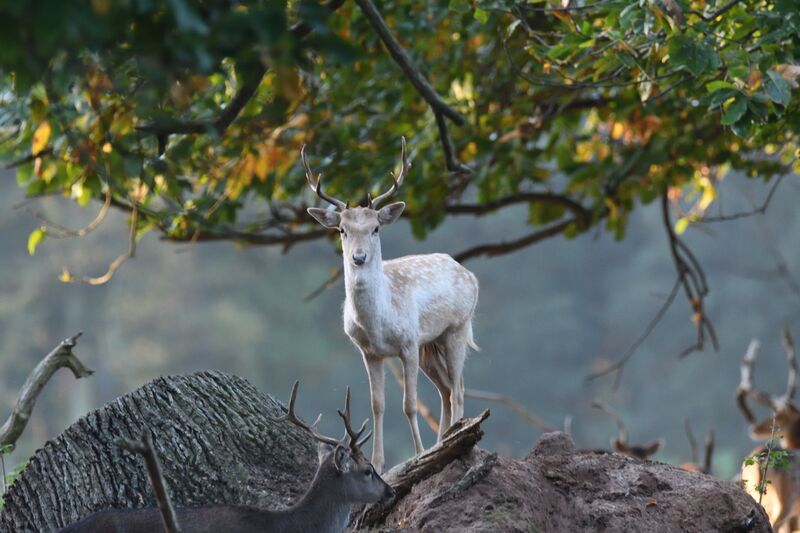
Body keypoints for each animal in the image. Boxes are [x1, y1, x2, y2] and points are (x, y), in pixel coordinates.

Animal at [303, 137, 480, 473]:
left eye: (375, 228)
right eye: (342, 230)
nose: (359, 257)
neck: (377, 324)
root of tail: (471, 275)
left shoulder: (408, 343)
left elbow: (409, 405)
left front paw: (418, 454)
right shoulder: (369, 352)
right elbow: (378, 405)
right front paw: (378, 463)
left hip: (457, 329)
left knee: (459, 389)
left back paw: (453, 440)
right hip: (430, 344)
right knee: (447, 389)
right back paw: (443, 441)